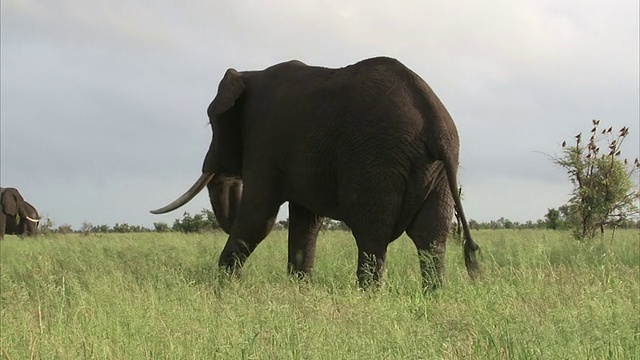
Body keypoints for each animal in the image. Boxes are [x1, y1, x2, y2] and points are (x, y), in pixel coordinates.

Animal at [151, 57, 480, 290]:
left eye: (211, 125)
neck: (249, 74)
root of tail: (434, 121)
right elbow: (306, 222)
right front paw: (301, 290)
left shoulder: (265, 139)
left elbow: (259, 218)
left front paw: (221, 288)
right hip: (437, 171)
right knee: (430, 238)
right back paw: (433, 296)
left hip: (377, 162)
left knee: (372, 235)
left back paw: (368, 298)